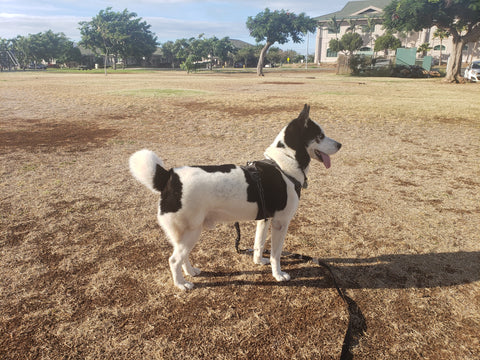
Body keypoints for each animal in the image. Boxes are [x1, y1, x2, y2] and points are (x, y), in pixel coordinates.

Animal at [128, 104, 342, 290]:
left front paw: (259, 261)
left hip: (186, 233)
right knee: (173, 260)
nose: (340, 144)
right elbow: (276, 254)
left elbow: (258, 244)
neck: (283, 164)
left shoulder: (264, 220)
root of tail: (169, 176)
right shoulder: (280, 223)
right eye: (320, 136)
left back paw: (190, 272)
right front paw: (278, 274)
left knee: (182, 256)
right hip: (190, 232)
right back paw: (181, 284)